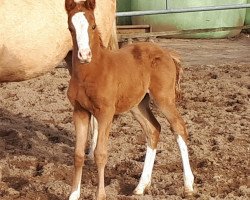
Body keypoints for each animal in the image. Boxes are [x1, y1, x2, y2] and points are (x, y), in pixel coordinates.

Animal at [65, 0, 194, 199]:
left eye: (93, 25)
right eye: (70, 28)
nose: (84, 55)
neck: (91, 73)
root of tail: (167, 53)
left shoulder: (105, 113)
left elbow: (100, 154)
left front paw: (100, 195)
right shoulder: (80, 111)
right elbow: (78, 155)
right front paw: (73, 195)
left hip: (164, 98)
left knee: (179, 127)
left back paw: (188, 186)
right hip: (137, 104)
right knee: (153, 130)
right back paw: (140, 187)